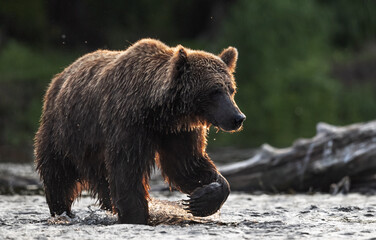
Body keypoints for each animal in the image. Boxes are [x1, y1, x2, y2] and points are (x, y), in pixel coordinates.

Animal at [33, 38, 245, 224]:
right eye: (214, 91)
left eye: (231, 89)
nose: (238, 117)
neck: (159, 112)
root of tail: (60, 76)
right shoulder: (128, 125)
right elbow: (127, 172)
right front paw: (136, 216)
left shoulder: (178, 132)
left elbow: (187, 166)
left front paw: (201, 198)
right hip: (62, 134)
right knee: (58, 178)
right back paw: (63, 212)